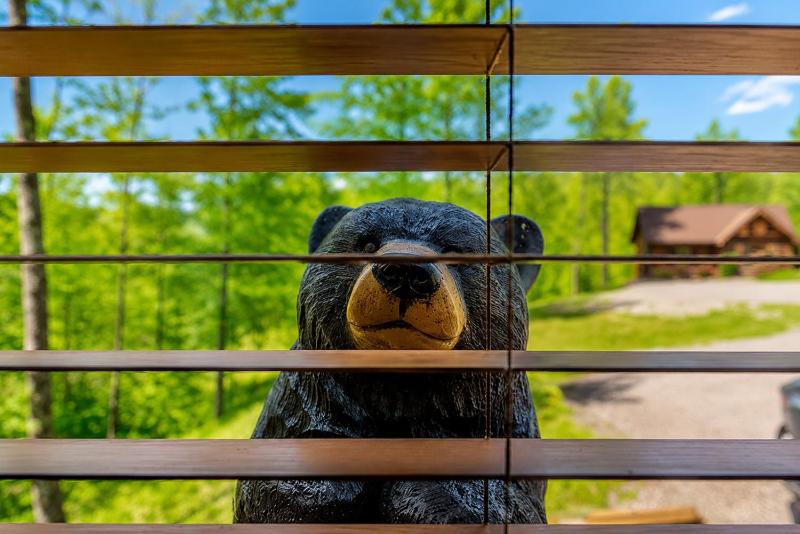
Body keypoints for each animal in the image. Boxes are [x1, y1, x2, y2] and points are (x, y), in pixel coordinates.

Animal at [234, 197, 546, 524]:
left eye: (454, 250)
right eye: (368, 243)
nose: (405, 273)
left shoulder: (505, 416)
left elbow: (511, 501)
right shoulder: (307, 398)